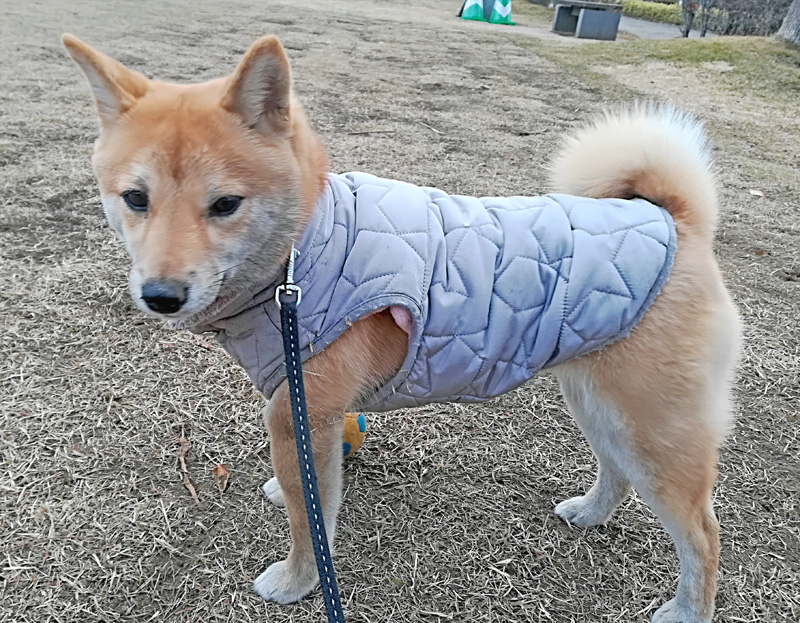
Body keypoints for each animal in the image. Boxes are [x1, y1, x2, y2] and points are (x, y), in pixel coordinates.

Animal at [64, 35, 744, 623]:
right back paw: (591, 512)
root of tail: (675, 220)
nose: (161, 296)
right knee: (618, 470)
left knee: (704, 535)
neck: (300, 252)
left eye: (225, 205)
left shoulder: (302, 411)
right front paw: (284, 496)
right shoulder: (306, 410)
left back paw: (688, 610)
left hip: (656, 428)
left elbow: (311, 521)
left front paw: (296, 582)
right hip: (598, 401)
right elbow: (306, 491)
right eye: (135, 198)